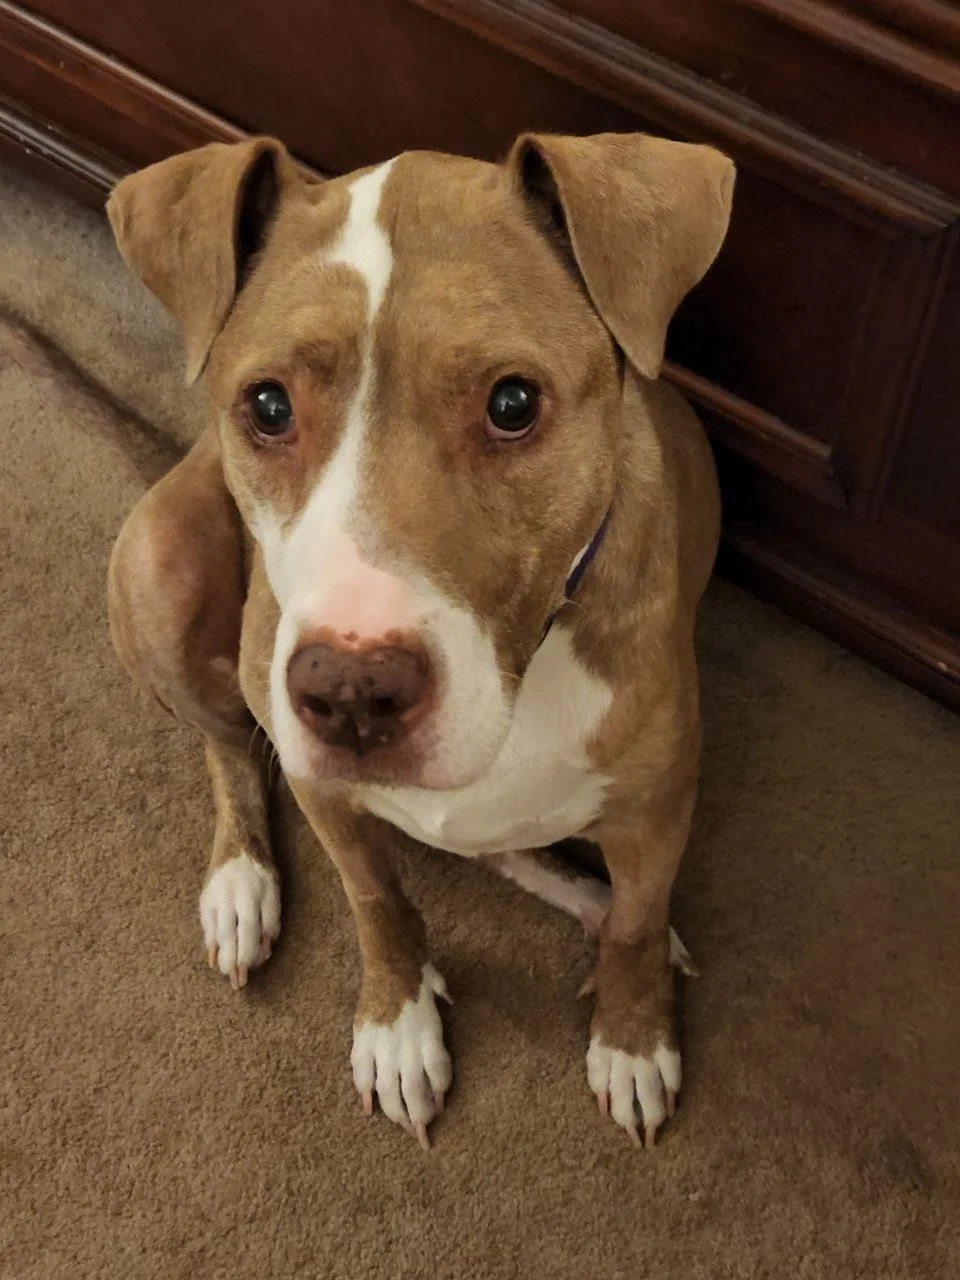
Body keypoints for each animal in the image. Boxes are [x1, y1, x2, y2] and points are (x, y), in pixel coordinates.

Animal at [106, 130, 734, 1150]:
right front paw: (397, 1026)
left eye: (513, 402)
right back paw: (241, 885)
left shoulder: (659, 801)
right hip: (154, 564)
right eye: (268, 406)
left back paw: (589, 901)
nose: (350, 692)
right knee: (227, 746)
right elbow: (379, 905)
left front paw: (633, 1037)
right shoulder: (325, 791)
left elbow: (641, 922)